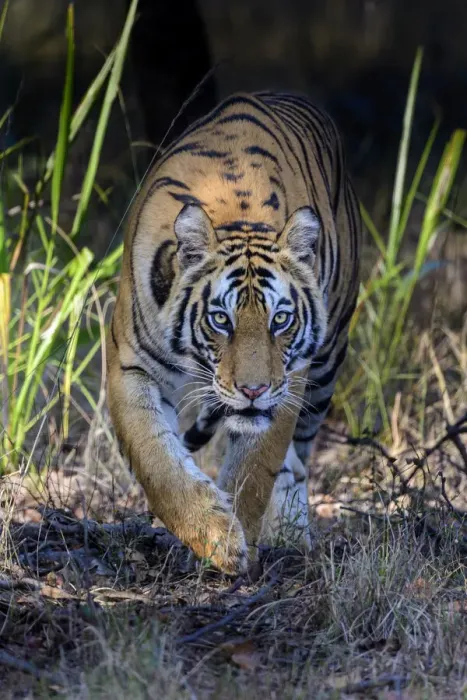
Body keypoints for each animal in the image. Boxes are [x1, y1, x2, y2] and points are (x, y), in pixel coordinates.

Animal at [106, 91, 361, 574]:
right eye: (221, 319)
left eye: (280, 319)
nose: (254, 391)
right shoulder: (132, 364)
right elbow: (156, 460)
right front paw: (213, 536)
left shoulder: (290, 379)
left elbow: (254, 470)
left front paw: (234, 539)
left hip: (327, 366)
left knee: (300, 458)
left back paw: (293, 536)